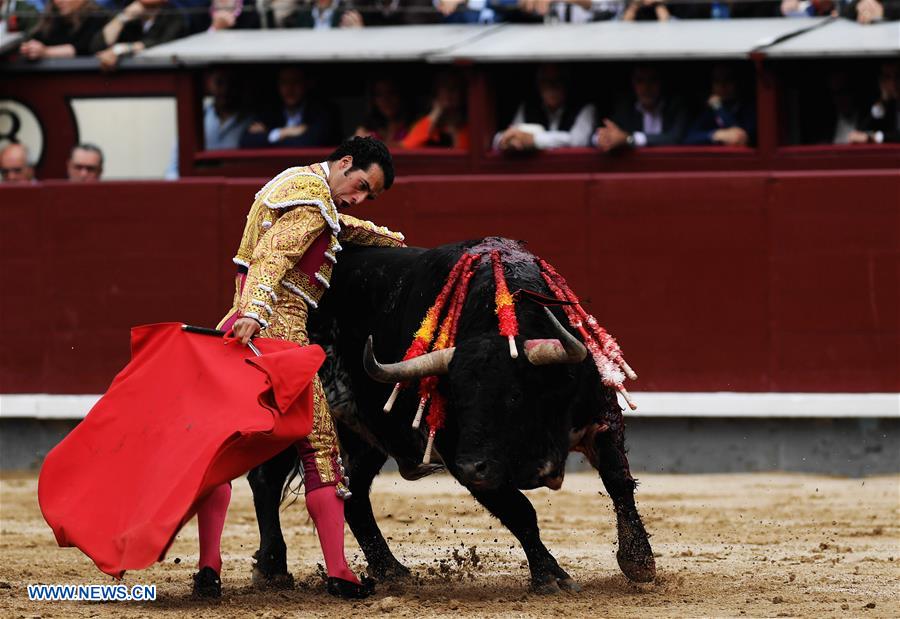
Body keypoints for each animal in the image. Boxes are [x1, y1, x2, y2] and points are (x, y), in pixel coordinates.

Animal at [246, 240, 652, 592]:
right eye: (453, 398)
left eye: (515, 395)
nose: (473, 466)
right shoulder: (458, 455)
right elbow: (520, 511)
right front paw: (550, 576)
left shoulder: (600, 417)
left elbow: (618, 480)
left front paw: (639, 561)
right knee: (266, 479)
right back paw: (273, 569)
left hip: (365, 436)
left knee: (353, 493)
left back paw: (391, 570)